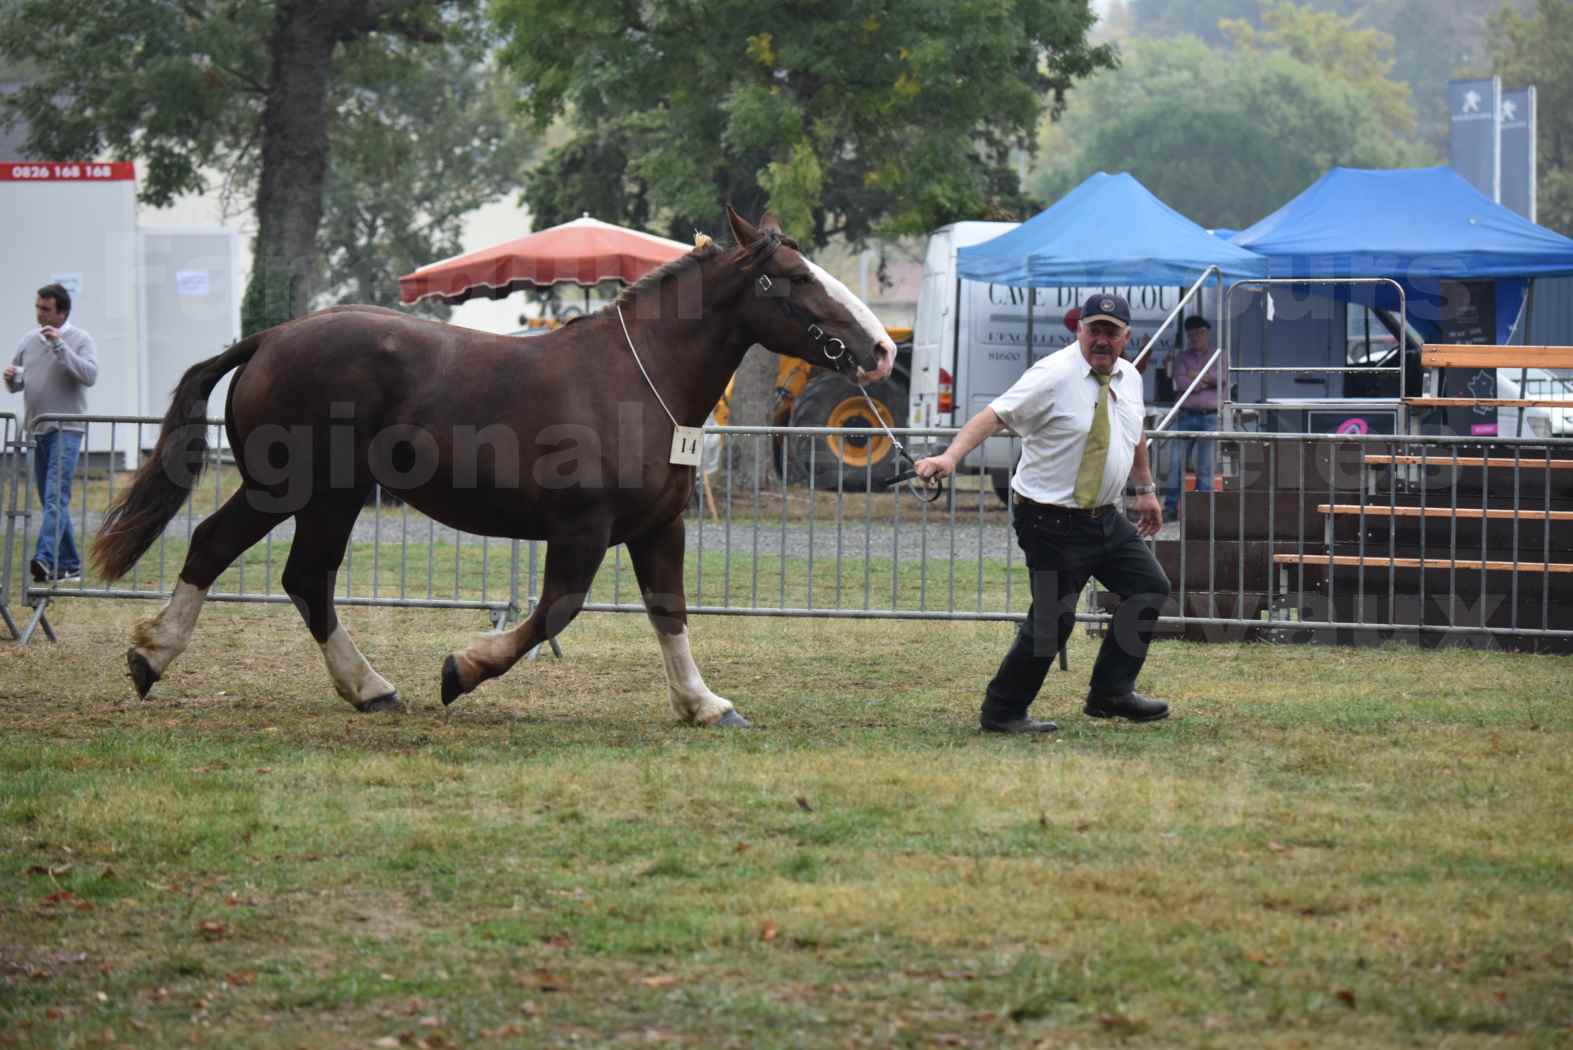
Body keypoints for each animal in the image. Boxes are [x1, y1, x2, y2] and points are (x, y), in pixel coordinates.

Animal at [92, 209, 893, 726]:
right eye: (792, 277)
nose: (882, 349)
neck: (636, 381)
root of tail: (268, 339)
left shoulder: (658, 527)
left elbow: (670, 610)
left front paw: (703, 704)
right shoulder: (581, 528)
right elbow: (554, 610)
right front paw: (463, 670)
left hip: (333, 497)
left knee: (305, 580)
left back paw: (368, 688)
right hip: (284, 487)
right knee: (215, 548)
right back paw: (153, 658)